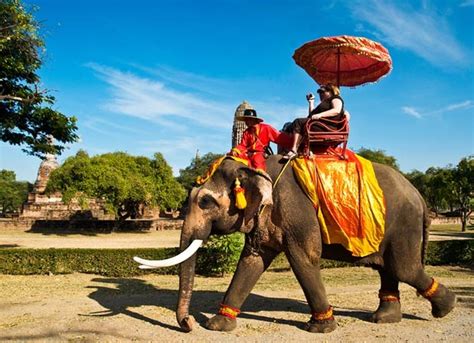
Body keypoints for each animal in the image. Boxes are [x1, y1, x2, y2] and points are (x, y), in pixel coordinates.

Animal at [133, 156, 456, 334]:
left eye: (206, 202)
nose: (188, 324)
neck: (255, 167)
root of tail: (420, 195)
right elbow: (252, 260)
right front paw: (217, 325)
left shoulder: (296, 209)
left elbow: (303, 258)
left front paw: (320, 328)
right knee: (388, 268)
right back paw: (383, 319)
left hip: (403, 225)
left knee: (404, 268)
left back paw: (446, 308)